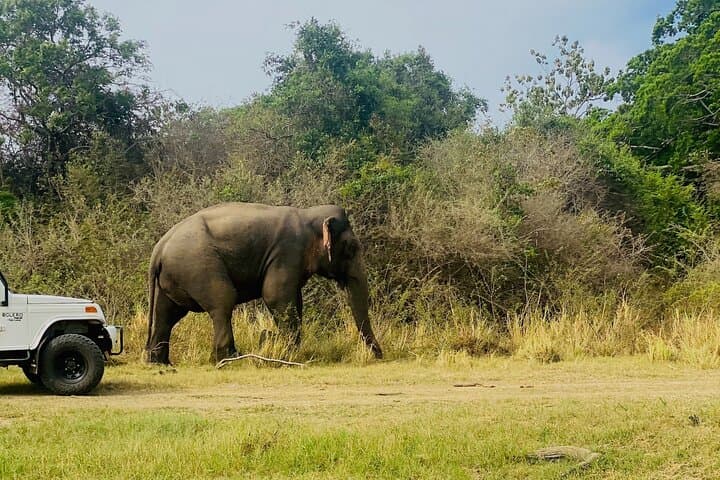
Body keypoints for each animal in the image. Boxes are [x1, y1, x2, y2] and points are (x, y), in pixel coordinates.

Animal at [145, 202, 383, 364]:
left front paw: (286, 349)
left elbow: (294, 301)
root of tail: (159, 248)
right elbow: (275, 297)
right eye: (351, 248)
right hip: (198, 266)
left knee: (166, 314)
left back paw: (160, 363)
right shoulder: (287, 252)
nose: (380, 356)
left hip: (173, 278)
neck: (307, 215)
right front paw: (287, 353)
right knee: (222, 301)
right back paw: (230, 358)